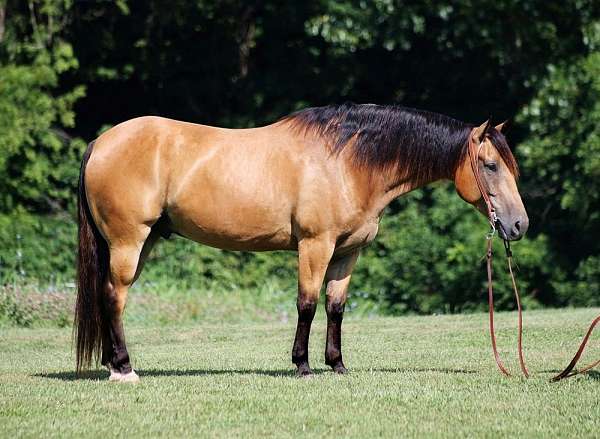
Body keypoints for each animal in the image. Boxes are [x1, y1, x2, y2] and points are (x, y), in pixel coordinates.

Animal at [74, 102, 524, 382]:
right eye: (490, 165)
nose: (519, 225)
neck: (348, 162)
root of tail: (100, 143)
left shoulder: (347, 253)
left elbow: (336, 307)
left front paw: (337, 365)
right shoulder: (315, 246)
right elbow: (307, 304)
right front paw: (302, 365)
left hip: (142, 242)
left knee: (108, 296)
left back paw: (112, 364)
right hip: (129, 241)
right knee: (114, 296)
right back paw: (124, 368)